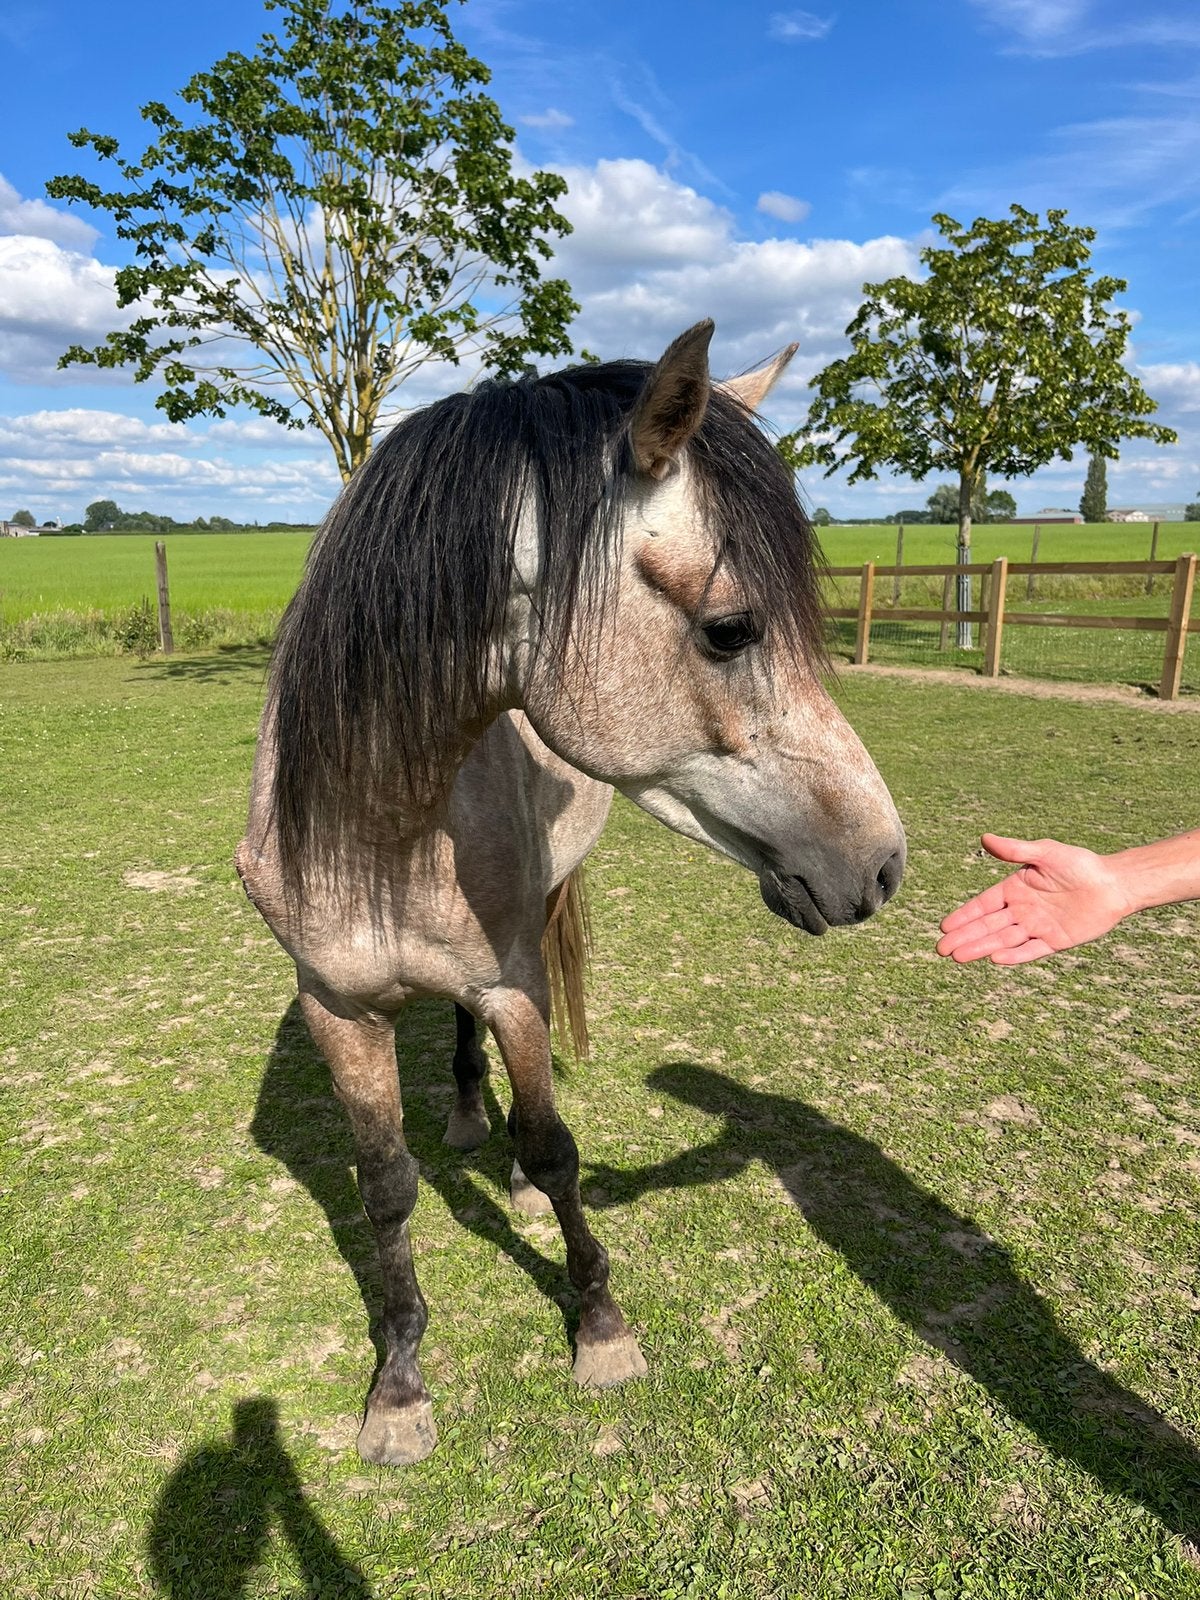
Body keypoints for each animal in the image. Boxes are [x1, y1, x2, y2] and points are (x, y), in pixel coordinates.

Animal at [236, 320, 906, 1466]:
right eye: (730, 629)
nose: (883, 864)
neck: (377, 829)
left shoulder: (514, 988)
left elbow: (554, 1150)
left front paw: (598, 1323)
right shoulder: (337, 1010)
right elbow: (384, 1188)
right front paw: (399, 1385)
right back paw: (469, 1114)